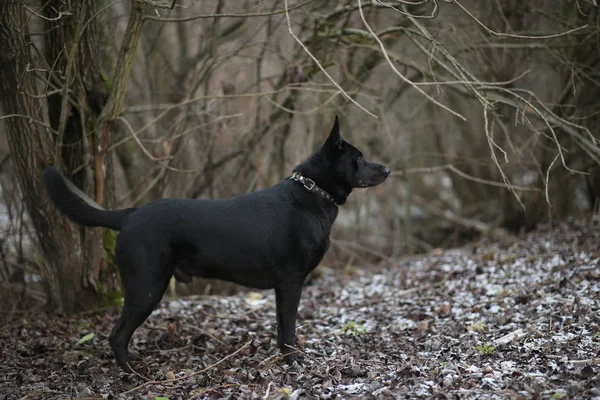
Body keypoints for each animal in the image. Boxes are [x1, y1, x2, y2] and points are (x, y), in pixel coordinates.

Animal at [42, 115, 390, 372]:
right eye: (359, 159)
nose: (387, 168)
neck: (312, 192)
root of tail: (129, 215)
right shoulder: (292, 283)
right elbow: (290, 330)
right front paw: (294, 364)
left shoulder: (282, 287)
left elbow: (281, 330)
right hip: (146, 287)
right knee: (117, 336)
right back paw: (133, 374)